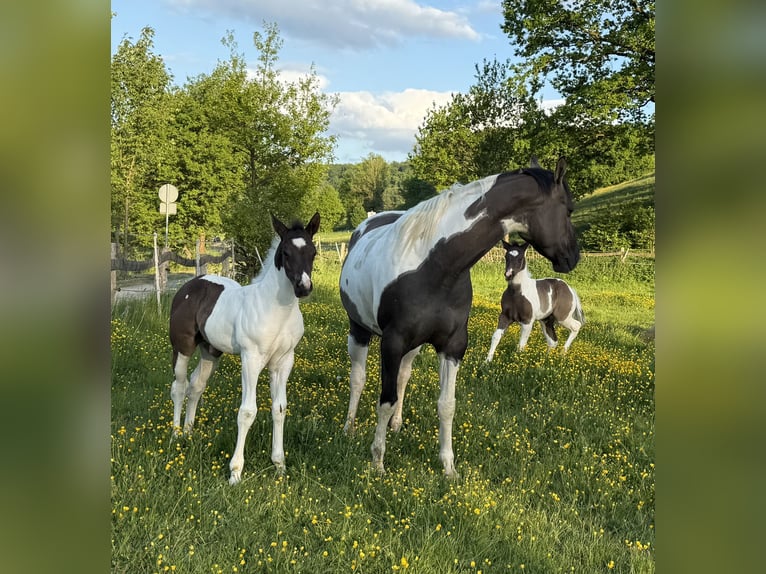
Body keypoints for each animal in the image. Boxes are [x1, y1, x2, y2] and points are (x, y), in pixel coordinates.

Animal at [169, 212, 320, 485]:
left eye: (312, 252)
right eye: (286, 253)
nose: (303, 287)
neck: (277, 310)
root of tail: (189, 285)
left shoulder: (283, 362)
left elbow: (279, 408)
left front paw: (279, 465)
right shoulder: (251, 359)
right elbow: (247, 411)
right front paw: (235, 473)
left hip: (210, 352)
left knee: (196, 386)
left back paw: (188, 431)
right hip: (182, 347)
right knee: (179, 386)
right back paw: (176, 436)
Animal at [339, 157, 579, 478]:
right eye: (568, 209)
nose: (573, 257)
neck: (435, 267)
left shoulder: (453, 346)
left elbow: (446, 404)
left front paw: (448, 466)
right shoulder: (391, 342)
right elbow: (385, 400)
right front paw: (378, 462)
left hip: (413, 345)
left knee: (403, 377)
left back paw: (397, 425)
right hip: (360, 331)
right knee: (358, 378)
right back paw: (349, 428)